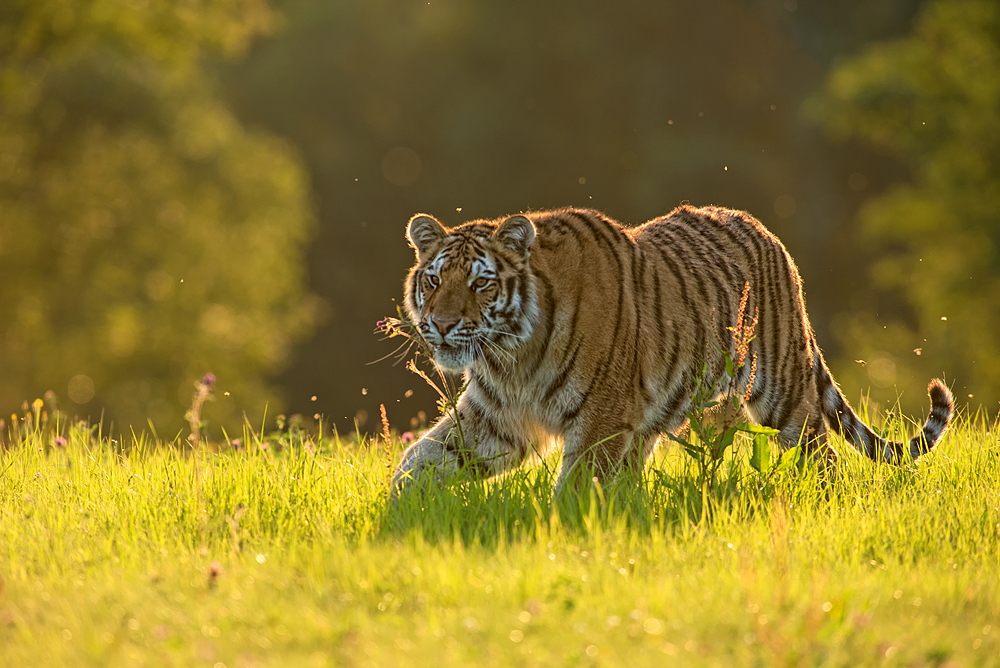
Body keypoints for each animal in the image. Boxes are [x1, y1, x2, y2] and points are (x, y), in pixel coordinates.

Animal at [390, 205, 954, 496]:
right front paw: (397, 515)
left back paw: (823, 502)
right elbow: (421, 458)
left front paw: (563, 531)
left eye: (481, 284)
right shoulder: (496, 416)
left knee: (823, 454)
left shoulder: (599, 418)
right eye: (434, 280)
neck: (513, 356)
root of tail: (770, 236)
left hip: (784, 394)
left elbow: (575, 487)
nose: (442, 325)